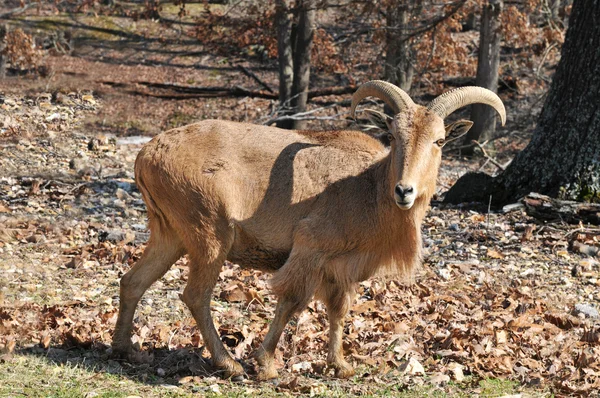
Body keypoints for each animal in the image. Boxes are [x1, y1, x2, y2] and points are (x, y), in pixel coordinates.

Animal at [112, 80, 506, 380]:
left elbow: (338, 310)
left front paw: (341, 365)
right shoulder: (310, 249)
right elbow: (291, 302)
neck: (367, 186)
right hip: (209, 233)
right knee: (196, 295)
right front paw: (267, 365)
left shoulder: (341, 268)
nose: (404, 191)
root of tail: (147, 154)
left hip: (170, 235)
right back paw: (229, 364)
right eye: (394, 135)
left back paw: (125, 350)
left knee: (133, 281)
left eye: (439, 141)